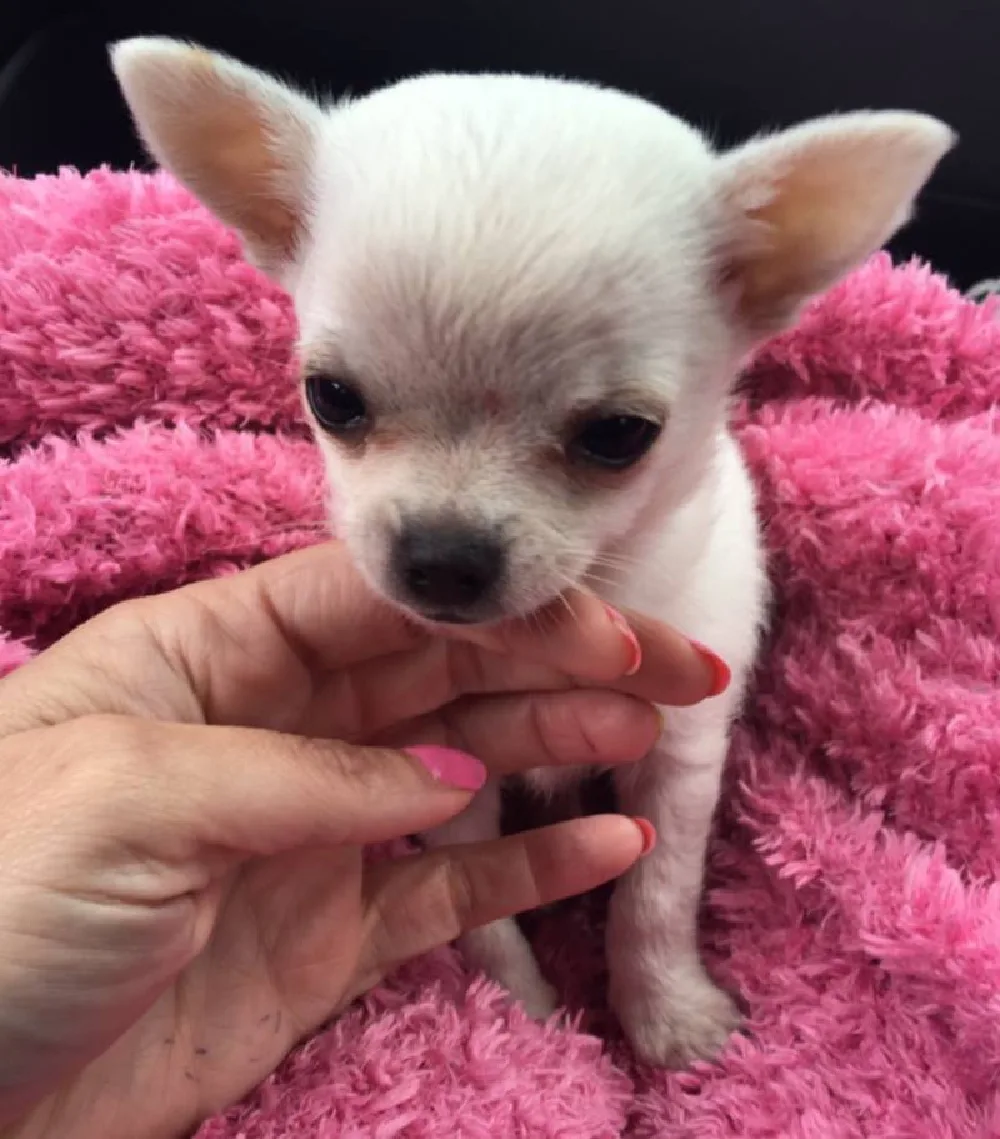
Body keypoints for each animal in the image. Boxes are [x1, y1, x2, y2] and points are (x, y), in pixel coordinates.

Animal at [109, 37, 956, 1066]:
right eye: (332, 399)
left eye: (620, 436)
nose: (441, 556)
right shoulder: (449, 766)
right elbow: (478, 901)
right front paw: (515, 1016)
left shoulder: (681, 749)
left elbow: (655, 893)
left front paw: (670, 1018)